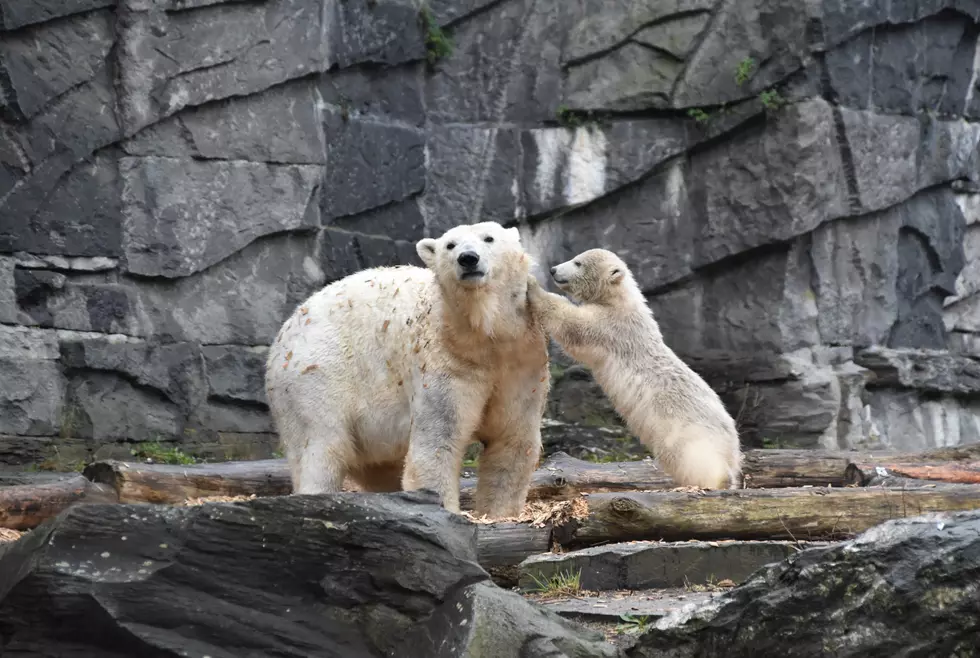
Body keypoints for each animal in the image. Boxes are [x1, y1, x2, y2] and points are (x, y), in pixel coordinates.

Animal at [264, 222, 552, 516]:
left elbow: (511, 441)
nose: (468, 258)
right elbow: (437, 444)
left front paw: (496, 515)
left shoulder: (519, 364)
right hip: (315, 374)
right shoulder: (447, 364)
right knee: (322, 446)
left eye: (489, 238)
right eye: (450, 245)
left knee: (378, 466)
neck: (481, 337)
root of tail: (283, 333)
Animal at [528, 246, 744, 486]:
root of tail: (731, 445)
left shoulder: (613, 325)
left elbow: (573, 325)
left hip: (686, 433)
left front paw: (532, 285)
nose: (553, 269)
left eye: (578, 263)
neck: (620, 298)